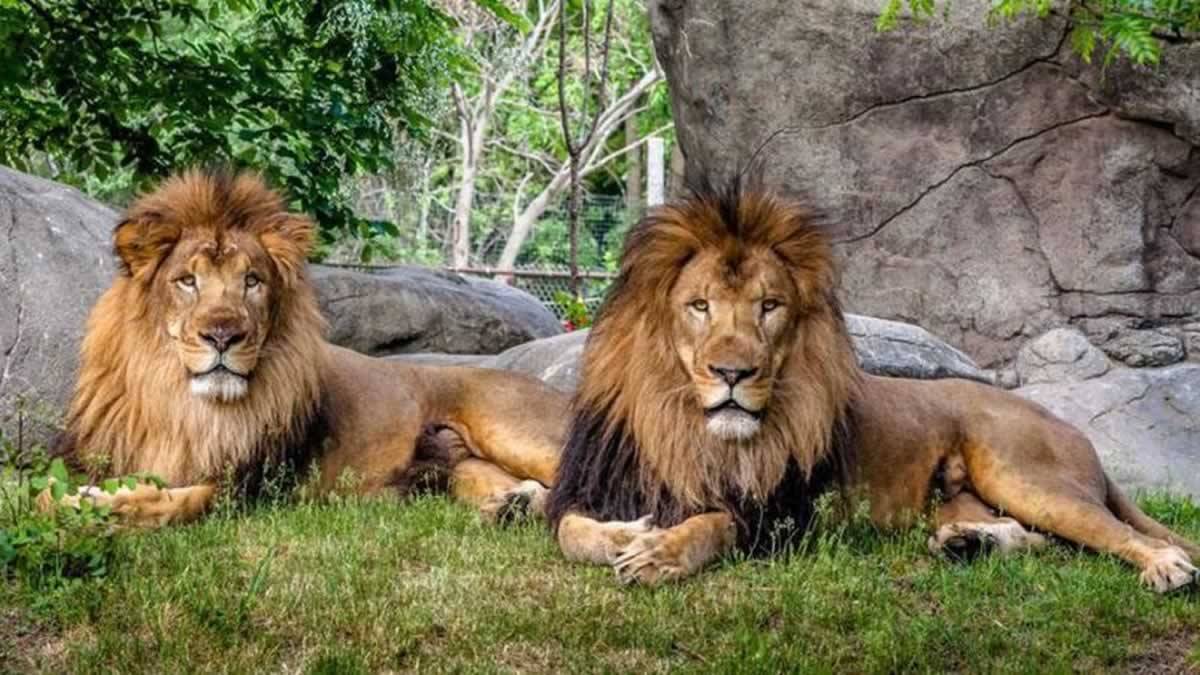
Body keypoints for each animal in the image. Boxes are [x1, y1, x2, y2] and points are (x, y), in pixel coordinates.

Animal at [49, 168, 564, 526]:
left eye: (252, 281)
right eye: (187, 281)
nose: (223, 336)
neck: (186, 404)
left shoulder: (253, 487)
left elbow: (184, 502)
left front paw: (102, 508)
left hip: (515, 431)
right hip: (465, 468)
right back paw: (513, 507)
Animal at [547, 180, 1200, 593]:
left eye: (769, 307)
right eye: (700, 306)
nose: (734, 374)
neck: (686, 427)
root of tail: (1070, 428)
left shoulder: (781, 519)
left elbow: (714, 523)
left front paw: (659, 553)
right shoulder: (589, 487)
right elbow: (570, 531)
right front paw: (626, 534)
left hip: (1026, 474)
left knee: (1115, 534)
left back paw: (1167, 568)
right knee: (1049, 543)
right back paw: (970, 545)